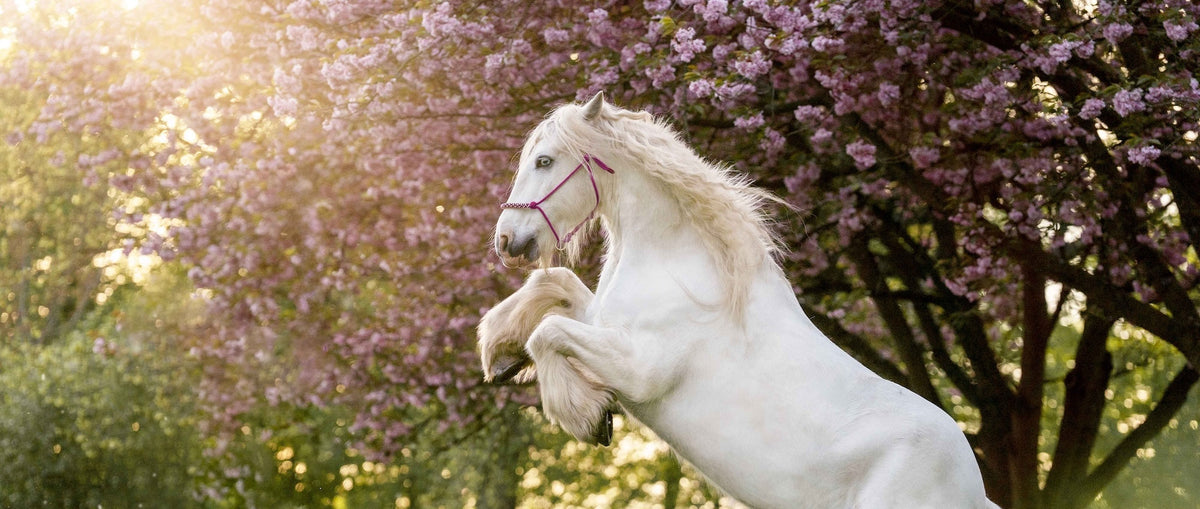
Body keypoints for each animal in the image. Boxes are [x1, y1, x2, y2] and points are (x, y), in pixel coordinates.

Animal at [483, 93, 998, 509]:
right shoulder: (599, 320)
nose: (506, 239)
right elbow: (555, 286)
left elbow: (548, 330)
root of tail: (976, 492)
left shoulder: (639, 370)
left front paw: (588, 417)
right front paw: (499, 352)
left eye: (544, 161)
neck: (678, 262)